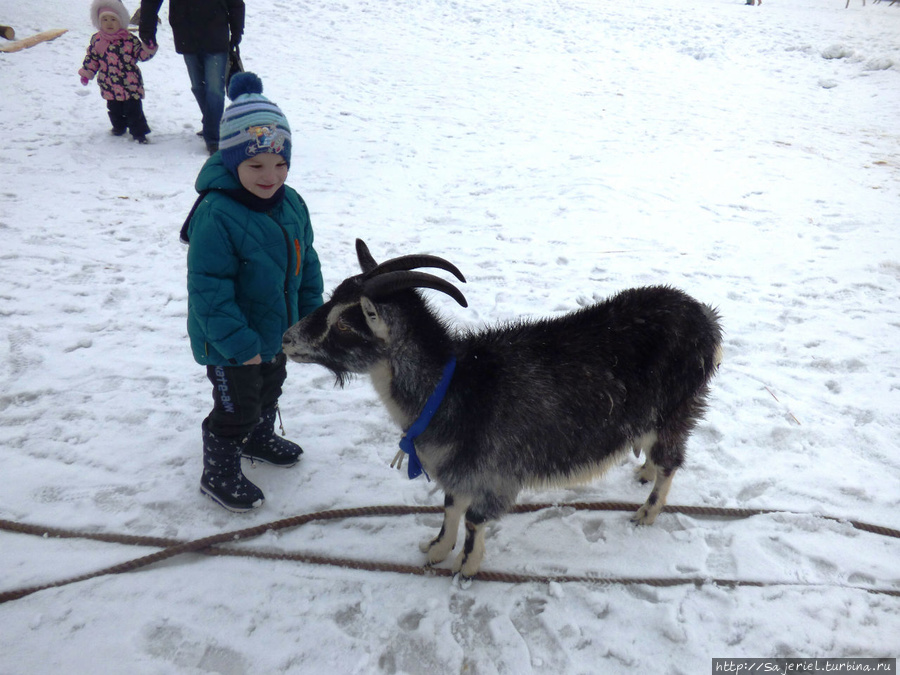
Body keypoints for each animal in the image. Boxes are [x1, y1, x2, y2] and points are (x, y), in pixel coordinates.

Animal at [282, 239, 724, 580]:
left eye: (345, 324)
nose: (287, 339)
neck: (452, 384)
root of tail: (706, 318)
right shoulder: (460, 467)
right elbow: (450, 507)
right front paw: (437, 549)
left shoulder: (494, 470)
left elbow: (474, 519)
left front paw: (466, 566)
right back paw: (644, 470)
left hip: (676, 408)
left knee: (672, 461)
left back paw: (646, 512)